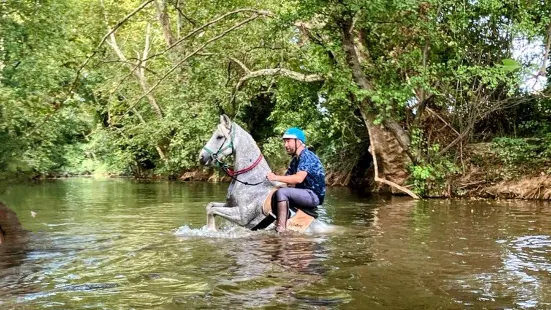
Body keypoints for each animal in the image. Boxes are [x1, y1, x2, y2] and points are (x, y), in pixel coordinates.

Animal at [201, 114, 334, 232]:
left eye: (219, 137)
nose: (202, 157)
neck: (250, 182)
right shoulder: (229, 205)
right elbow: (209, 206)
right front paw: (209, 229)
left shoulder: (242, 216)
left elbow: (212, 210)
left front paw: (211, 230)